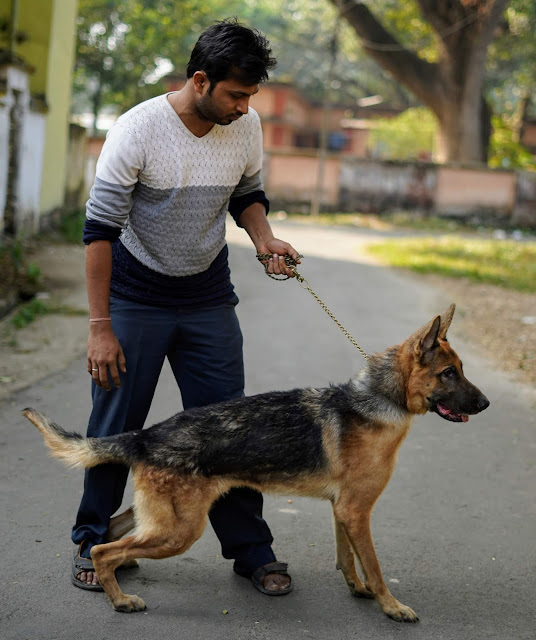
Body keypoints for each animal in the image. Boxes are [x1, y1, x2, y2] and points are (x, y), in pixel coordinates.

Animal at [24, 304, 486, 620]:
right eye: (448, 374)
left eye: (461, 369)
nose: (485, 404)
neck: (380, 398)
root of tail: (147, 434)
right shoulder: (357, 511)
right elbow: (373, 565)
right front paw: (390, 606)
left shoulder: (344, 511)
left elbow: (348, 558)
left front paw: (358, 590)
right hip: (180, 531)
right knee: (103, 549)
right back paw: (119, 598)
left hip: (159, 519)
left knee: (112, 531)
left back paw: (122, 569)